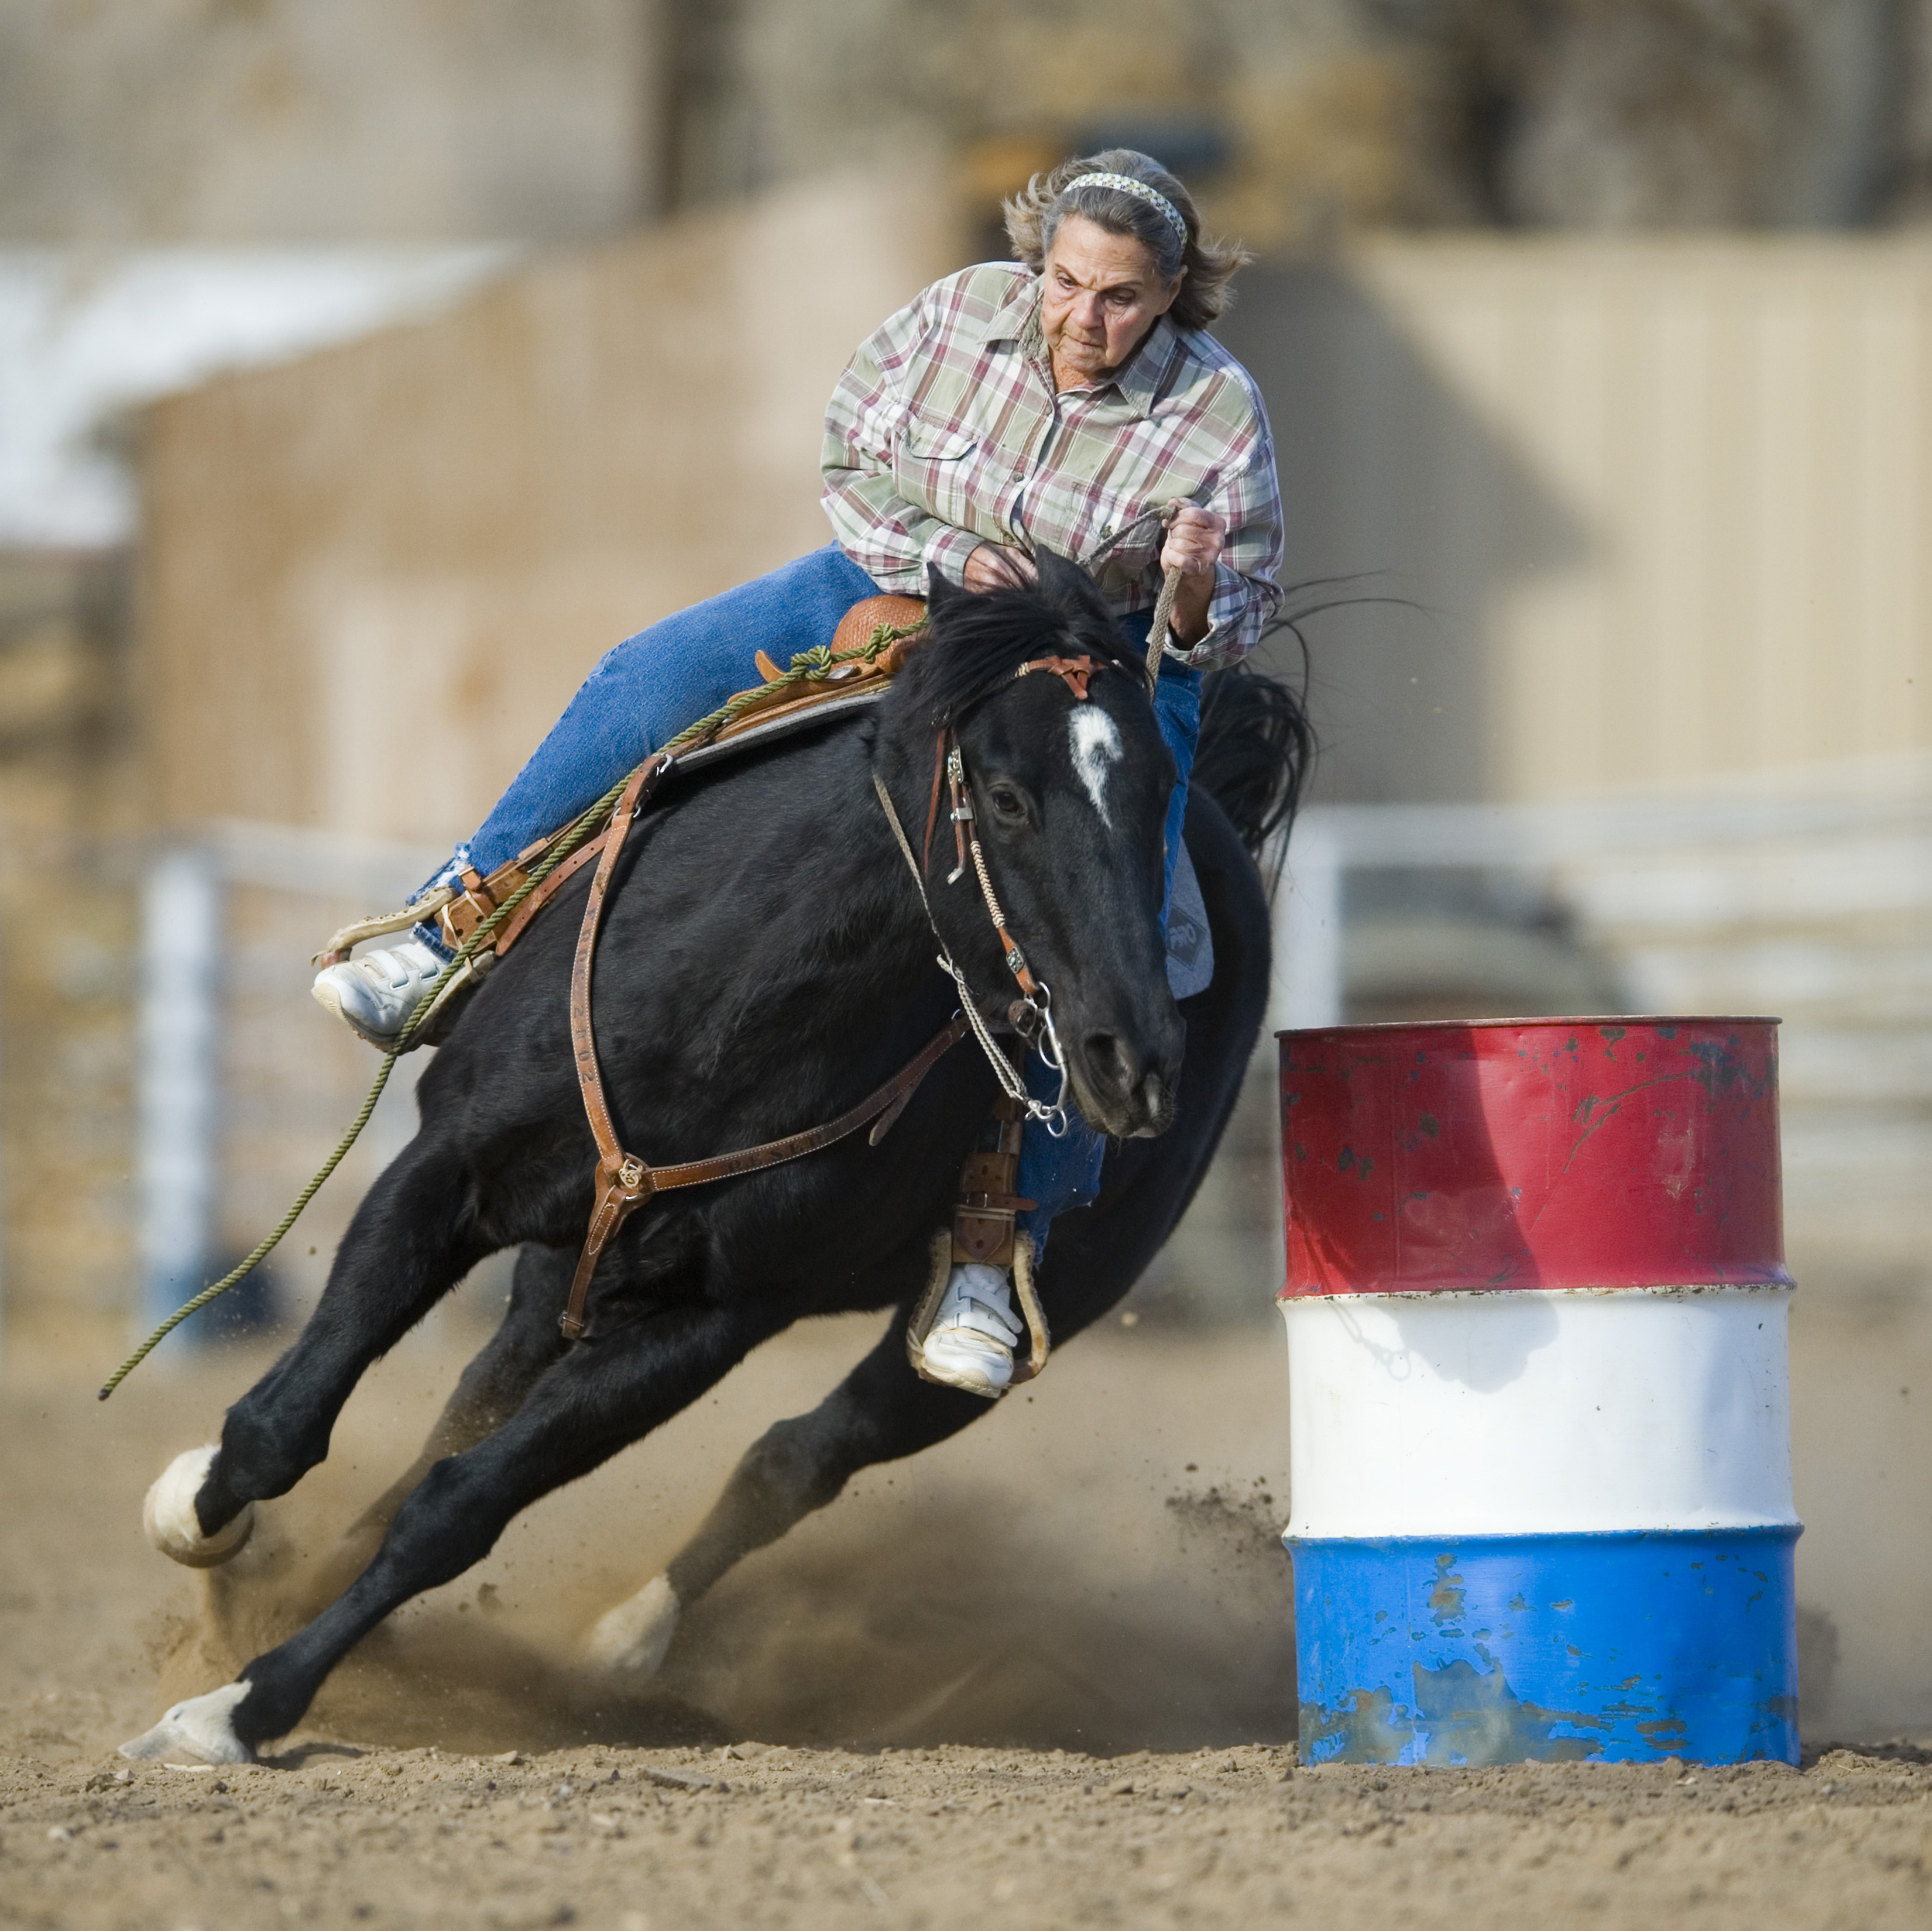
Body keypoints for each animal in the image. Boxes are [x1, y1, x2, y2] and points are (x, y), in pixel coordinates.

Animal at [124, 556, 1313, 1768]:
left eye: (1157, 800)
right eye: (1009, 796)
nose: (1135, 1061)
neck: (734, 1002)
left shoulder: (708, 1319)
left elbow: (459, 1510)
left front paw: (244, 1707)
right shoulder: (441, 1173)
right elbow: (285, 1425)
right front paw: (200, 1527)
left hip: (1047, 1303)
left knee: (801, 1455)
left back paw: (625, 1639)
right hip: (571, 1258)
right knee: (484, 1390)